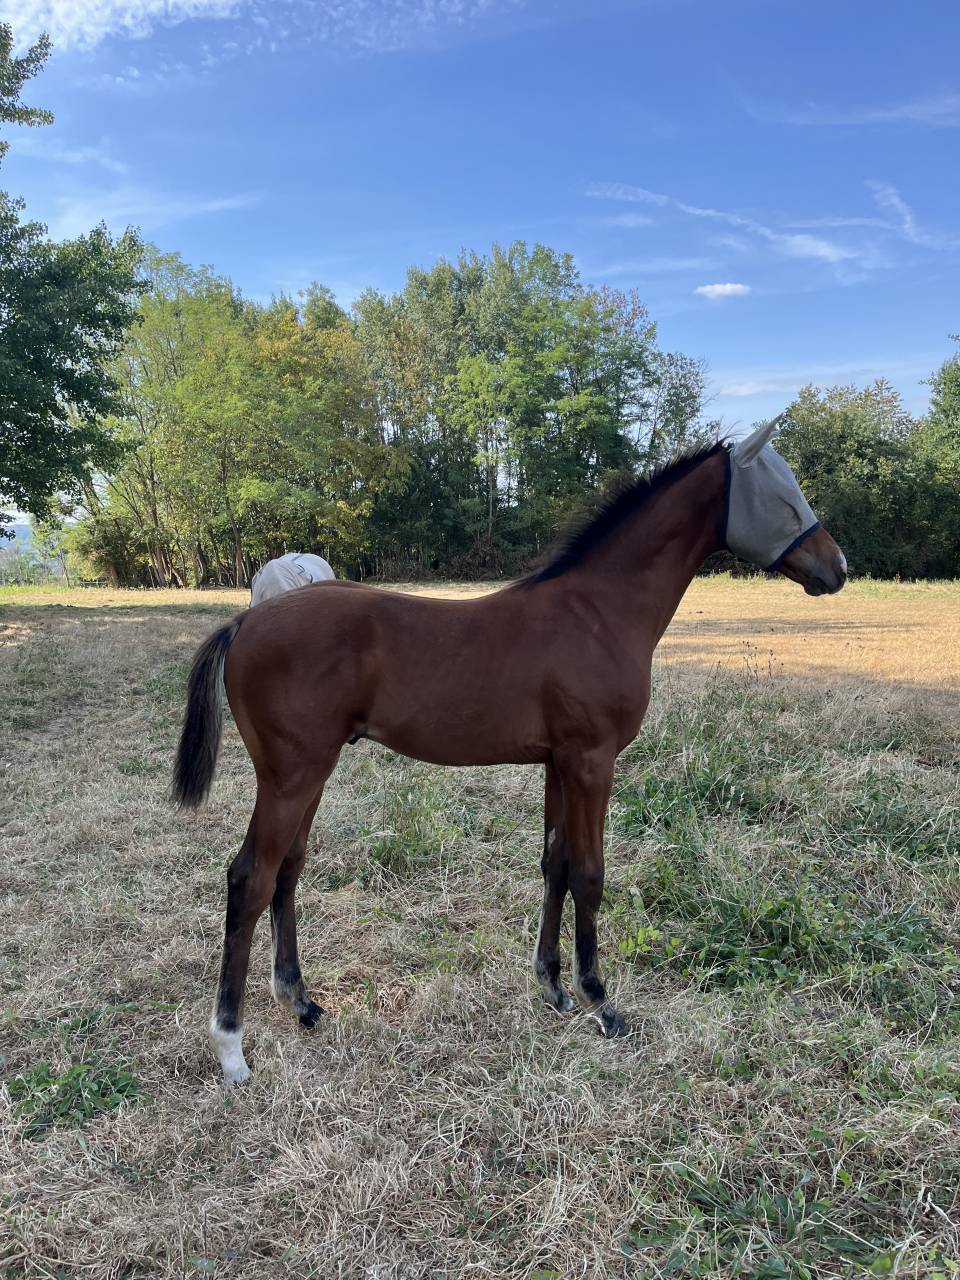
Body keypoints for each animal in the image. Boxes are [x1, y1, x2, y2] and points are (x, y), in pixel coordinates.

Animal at [173, 420, 846, 1084]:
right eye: (784, 499)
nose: (836, 568)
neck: (598, 613)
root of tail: (243, 623)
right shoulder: (593, 762)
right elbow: (590, 873)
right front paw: (600, 1000)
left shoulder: (559, 763)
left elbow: (556, 865)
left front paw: (553, 986)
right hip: (292, 776)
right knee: (251, 879)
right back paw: (231, 1046)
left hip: (308, 774)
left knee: (287, 870)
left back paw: (301, 1002)